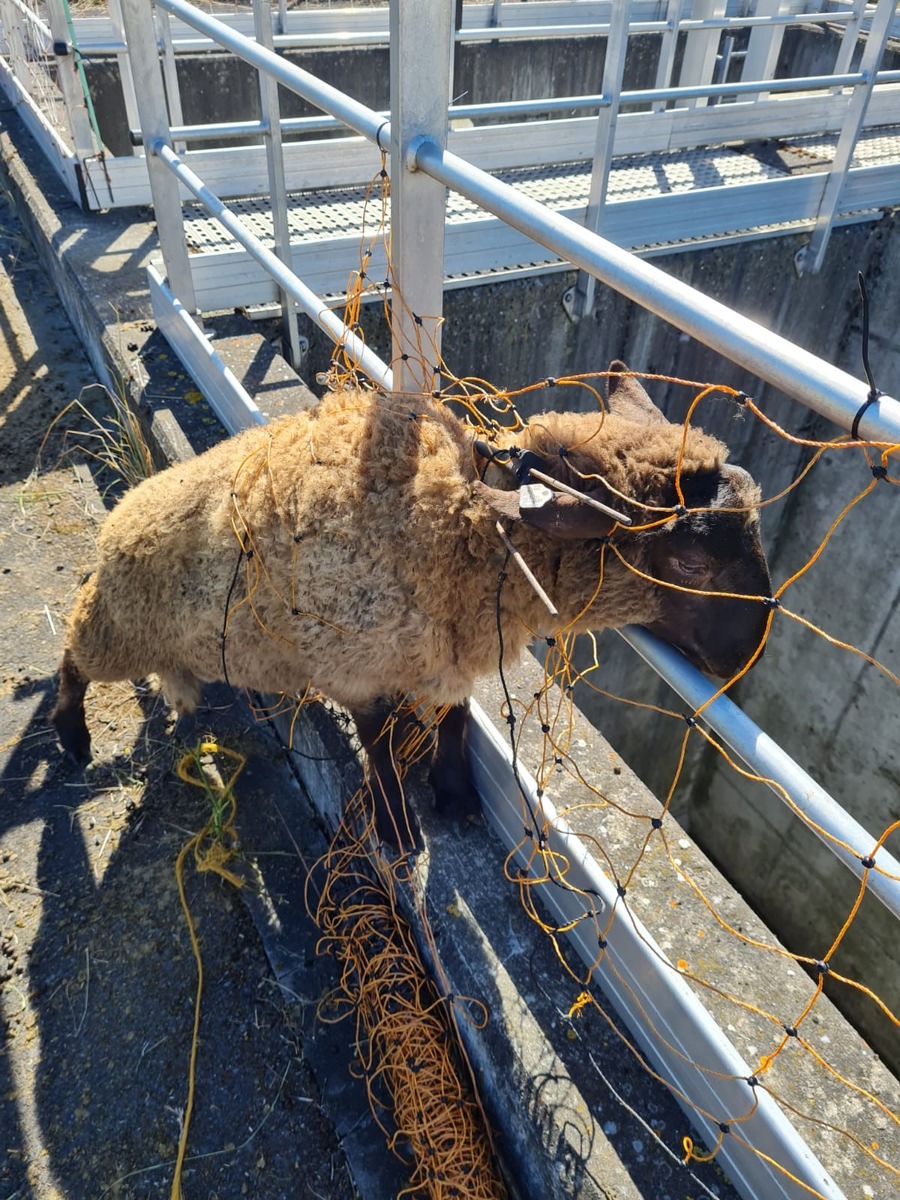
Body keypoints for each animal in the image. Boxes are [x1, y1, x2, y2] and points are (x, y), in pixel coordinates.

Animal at [51, 364, 768, 844]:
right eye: (692, 563)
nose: (746, 660)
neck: (458, 523)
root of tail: (120, 518)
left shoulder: (447, 655)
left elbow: (453, 719)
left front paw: (455, 794)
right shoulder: (353, 665)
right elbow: (377, 746)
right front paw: (397, 827)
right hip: (119, 623)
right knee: (72, 658)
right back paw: (70, 737)